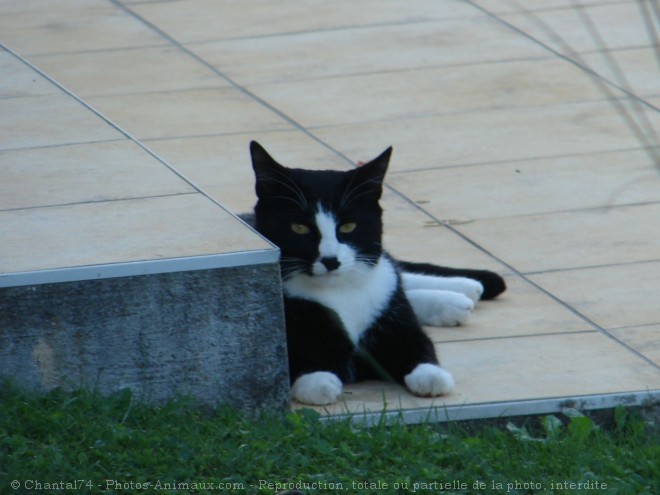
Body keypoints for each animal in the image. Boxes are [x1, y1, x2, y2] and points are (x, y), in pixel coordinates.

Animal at [248, 141, 506, 404]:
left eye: (348, 226)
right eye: (299, 228)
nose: (330, 260)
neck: (342, 293)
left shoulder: (395, 320)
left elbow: (415, 341)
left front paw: (430, 374)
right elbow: (296, 355)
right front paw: (317, 381)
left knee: (397, 273)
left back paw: (462, 290)